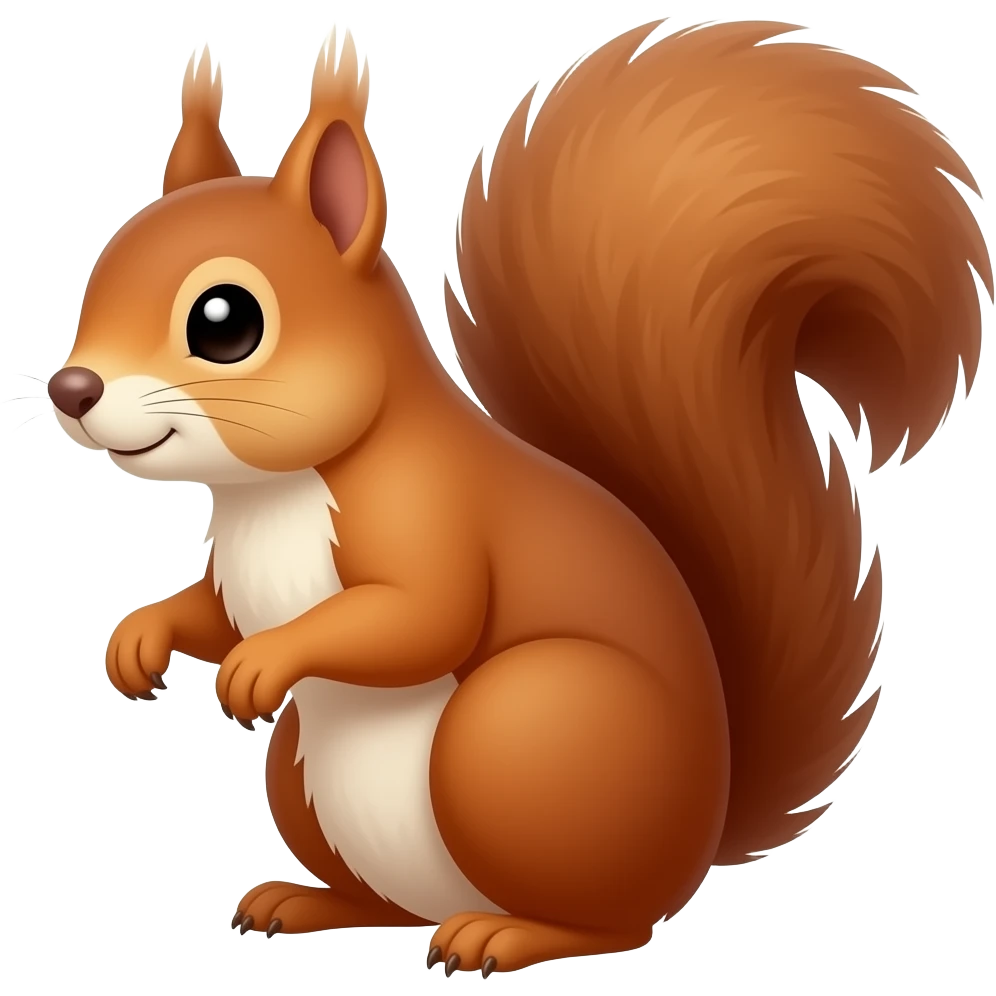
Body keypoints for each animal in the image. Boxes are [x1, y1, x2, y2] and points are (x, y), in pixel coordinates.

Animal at [50, 17, 988, 977]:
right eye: (99, 274)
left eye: (226, 321)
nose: (72, 388)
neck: (272, 494)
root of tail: (699, 836)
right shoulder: (235, 573)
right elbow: (210, 610)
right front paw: (140, 637)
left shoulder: (431, 515)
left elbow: (423, 616)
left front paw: (265, 661)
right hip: (307, 779)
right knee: (387, 902)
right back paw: (308, 902)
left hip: (522, 734)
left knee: (615, 922)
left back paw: (506, 935)